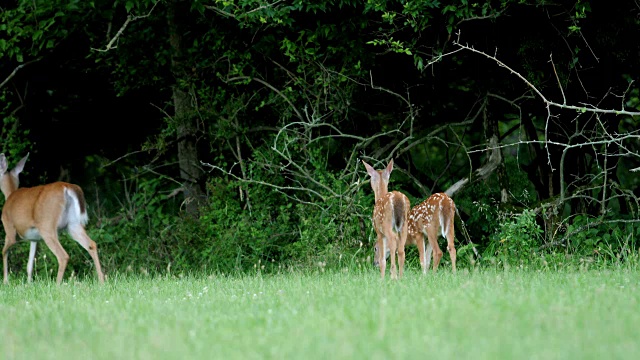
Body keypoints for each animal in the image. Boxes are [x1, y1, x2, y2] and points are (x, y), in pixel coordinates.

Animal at [0, 152, 105, 284]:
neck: (9, 195)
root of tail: (67, 187)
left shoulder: (9, 228)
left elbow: (4, 251)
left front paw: (5, 281)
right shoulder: (34, 238)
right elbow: (29, 264)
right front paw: (29, 283)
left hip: (47, 226)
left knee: (63, 255)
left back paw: (57, 284)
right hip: (73, 224)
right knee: (91, 244)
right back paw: (101, 280)